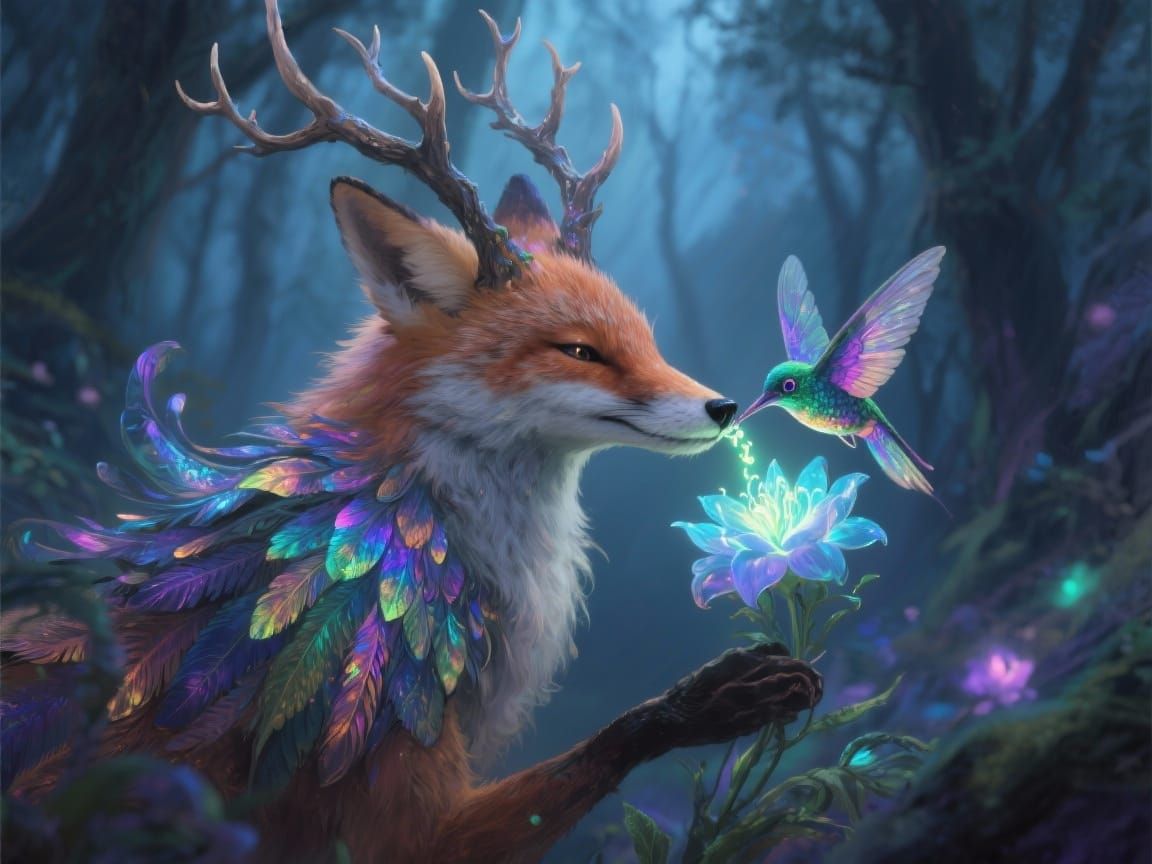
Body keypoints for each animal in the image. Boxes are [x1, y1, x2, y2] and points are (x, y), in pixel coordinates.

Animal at [1, 3, 822, 862]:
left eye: (646, 340)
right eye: (580, 351)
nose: (726, 407)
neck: (390, 519)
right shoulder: (396, 807)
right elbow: (608, 742)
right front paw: (725, 696)